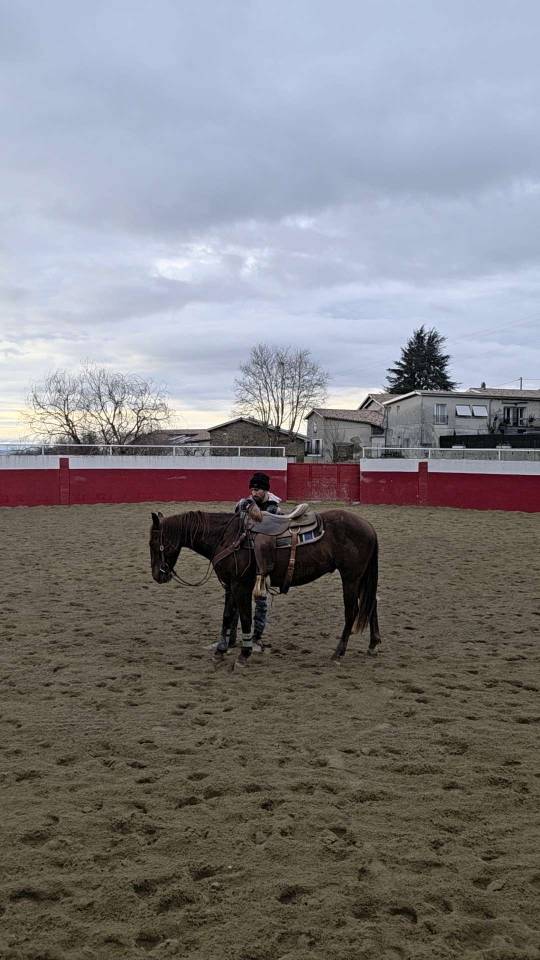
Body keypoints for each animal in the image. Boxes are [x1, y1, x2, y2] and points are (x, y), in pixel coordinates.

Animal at [149, 508, 381, 667]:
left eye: (153, 543)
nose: (157, 575)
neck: (227, 536)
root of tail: (369, 526)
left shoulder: (241, 585)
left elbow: (245, 617)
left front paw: (244, 654)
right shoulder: (230, 585)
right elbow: (227, 616)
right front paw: (221, 650)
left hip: (350, 578)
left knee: (352, 611)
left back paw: (338, 653)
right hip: (361, 578)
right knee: (371, 604)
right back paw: (373, 645)